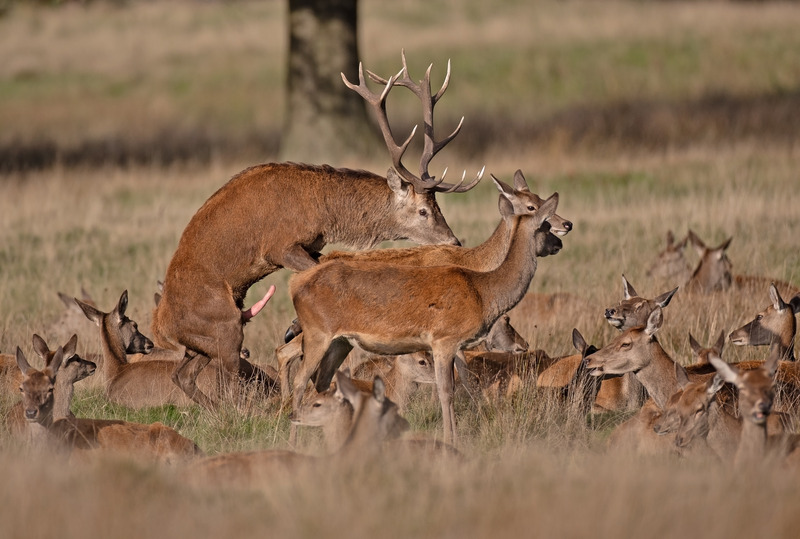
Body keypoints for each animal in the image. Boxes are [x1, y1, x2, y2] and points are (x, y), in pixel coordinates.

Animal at [151, 52, 482, 410]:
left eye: (439, 207)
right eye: (423, 210)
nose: (454, 241)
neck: (323, 212)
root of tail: (161, 327)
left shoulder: (312, 245)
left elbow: (321, 266)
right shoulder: (279, 246)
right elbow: (313, 270)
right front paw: (295, 326)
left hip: (204, 338)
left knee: (182, 374)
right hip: (223, 323)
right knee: (226, 370)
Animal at [288, 190, 561, 445]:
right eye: (544, 224)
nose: (558, 240)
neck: (484, 291)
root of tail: (295, 285)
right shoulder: (445, 339)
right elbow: (447, 390)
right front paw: (452, 438)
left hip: (340, 341)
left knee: (322, 379)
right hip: (317, 332)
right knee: (299, 379)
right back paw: (294, 434)